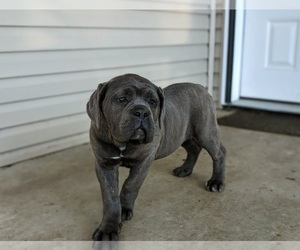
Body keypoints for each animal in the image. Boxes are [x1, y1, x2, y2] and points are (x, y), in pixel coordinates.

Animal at [86, 73, 225, 240]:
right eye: (122, 99)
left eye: (153, 102)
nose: (142, 112)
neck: (124, 143)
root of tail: (200, 88)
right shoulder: (104, 164)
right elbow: (110, 196)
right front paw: (108, 227)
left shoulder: (144, 161)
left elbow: (130, 185)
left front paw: (124, 209)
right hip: (181, 136)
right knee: (194, 149)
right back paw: (185, 170)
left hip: (206, 132)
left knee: (219, 153)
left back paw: (216, 181)